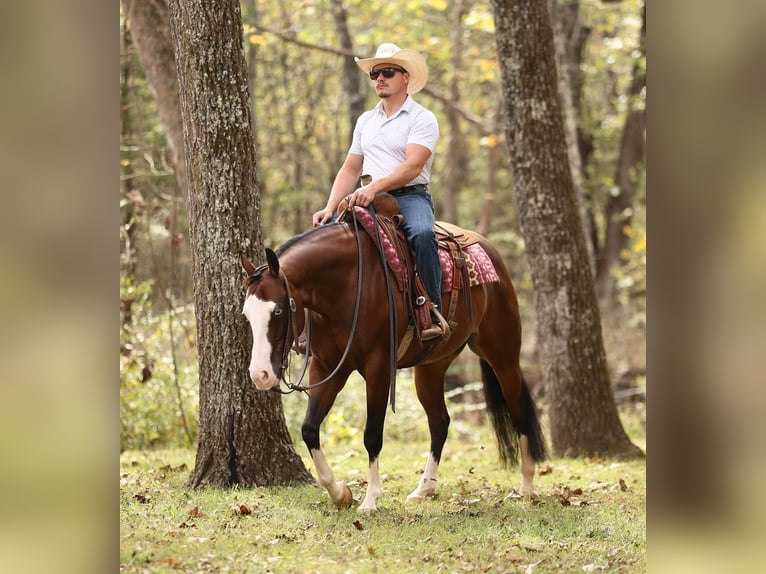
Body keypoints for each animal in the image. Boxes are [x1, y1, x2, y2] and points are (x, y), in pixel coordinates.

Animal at [240, 202, 547, 512]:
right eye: (246, 315)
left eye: (278, 310)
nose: (260, 375)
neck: (346, 285)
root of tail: (489, 250)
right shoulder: (327, 367)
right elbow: (309, 429)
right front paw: (340, 493)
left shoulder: (378, 367)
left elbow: (372, 435)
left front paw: (370, 499)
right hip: (432, 366)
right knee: (440, 422)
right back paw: (424, 489)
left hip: (502, 354)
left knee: (519, 410)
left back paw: (526, 486)